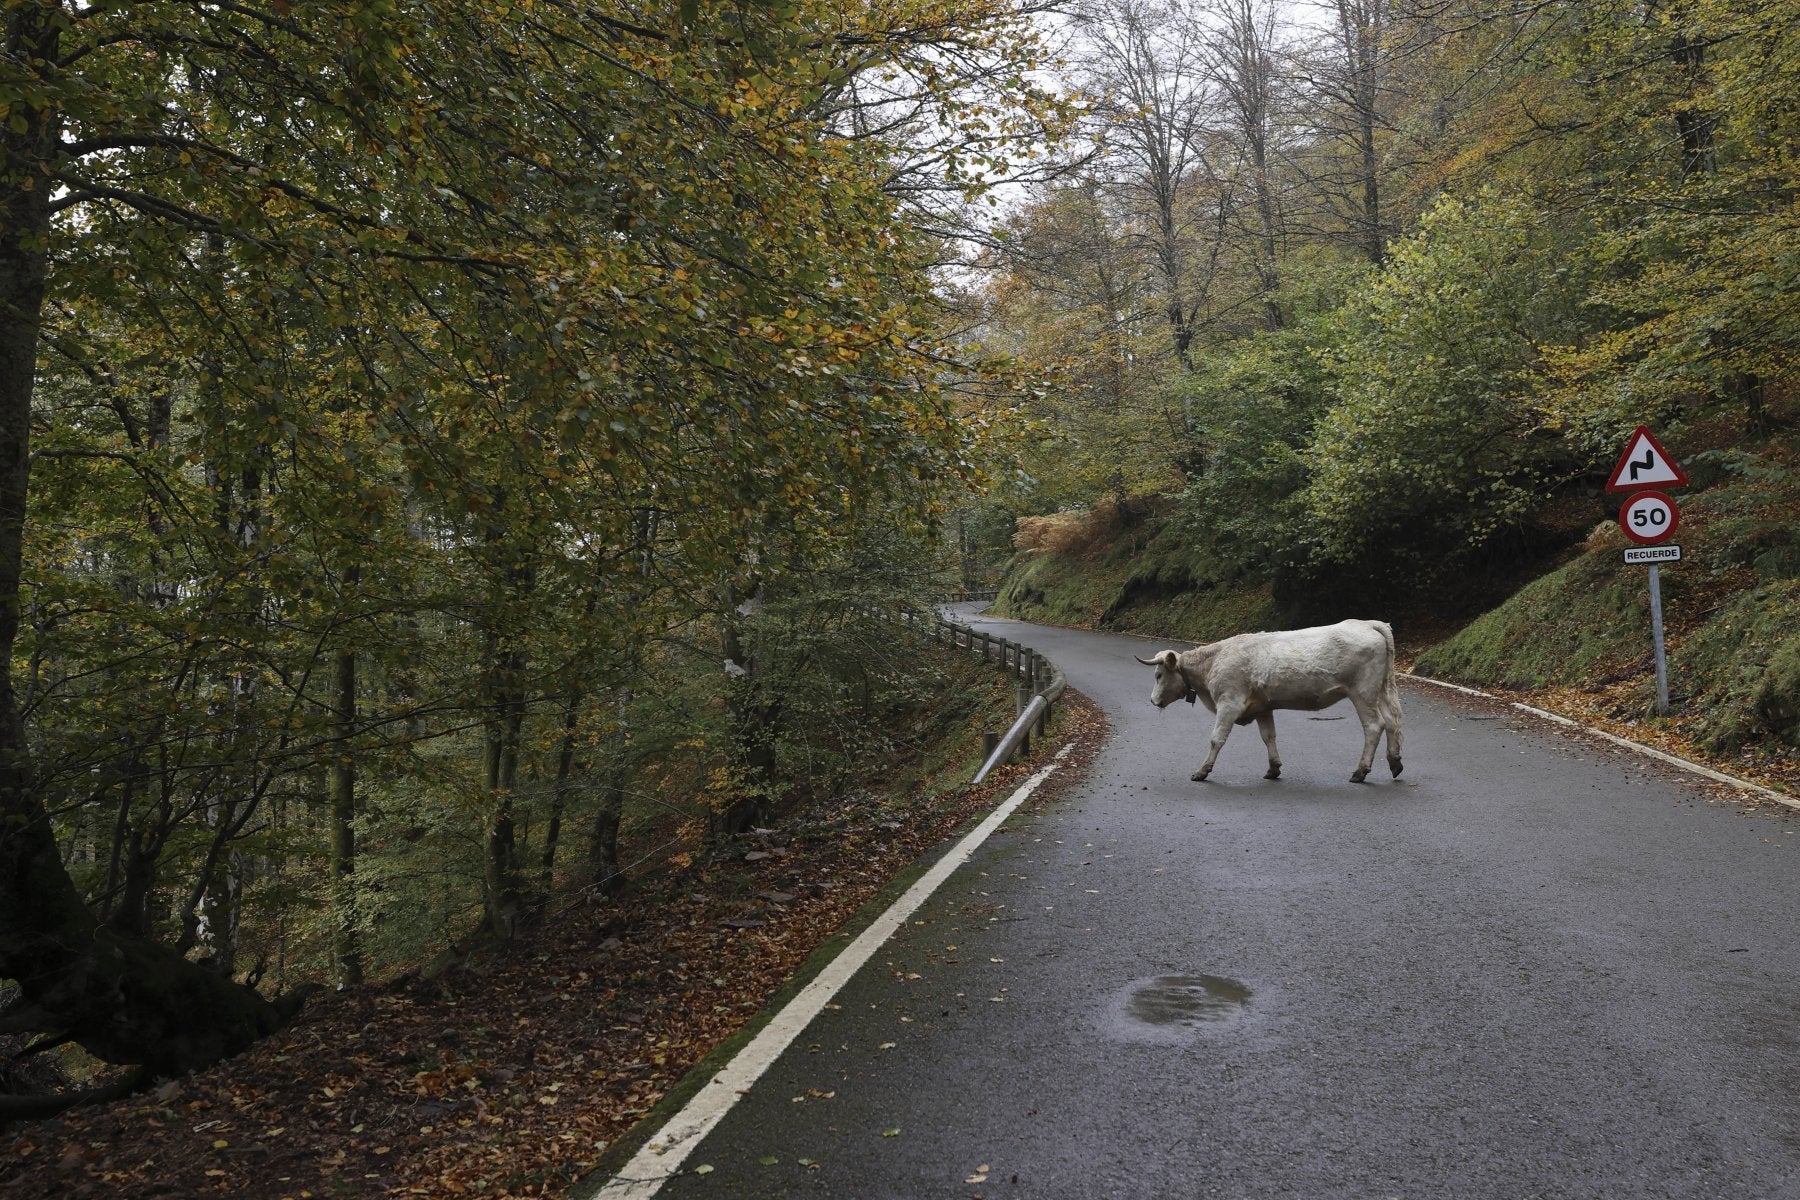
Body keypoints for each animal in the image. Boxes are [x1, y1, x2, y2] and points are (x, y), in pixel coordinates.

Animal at [1137, 618, 1404, 788]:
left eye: (1158, 675)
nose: (1153, 700)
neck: (1214, 661)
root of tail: (1367, 623)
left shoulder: (1229, 704)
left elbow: (1216, 739)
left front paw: (1202, 771)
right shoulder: (1263, 707)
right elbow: (1268, 737)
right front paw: (1273, 768)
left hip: (1362, 692)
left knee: (1374, 726)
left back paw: (1360, 772)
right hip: (1381, 691)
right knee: (1391, 722)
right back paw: (1395, 763)